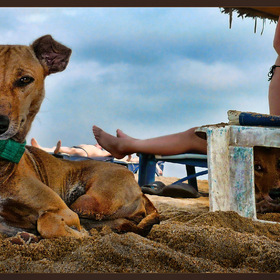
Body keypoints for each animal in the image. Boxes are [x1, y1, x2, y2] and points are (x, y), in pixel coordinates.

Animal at [0, 35, 160, 240]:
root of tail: (139, 187)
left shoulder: (61, 209)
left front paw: (78, 234)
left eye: (25, 79)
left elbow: (49, 224)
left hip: (89, 201)